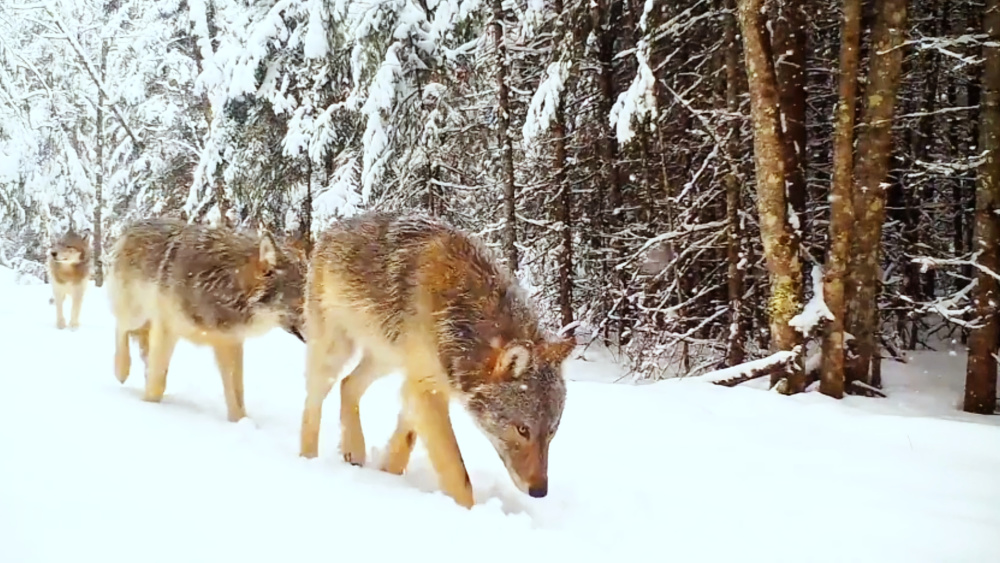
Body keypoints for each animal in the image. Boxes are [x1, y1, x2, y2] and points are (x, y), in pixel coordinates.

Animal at [107, 218, 306, 420]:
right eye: (302, 303)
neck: (224, 284)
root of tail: (136, 224)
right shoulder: (166, 329)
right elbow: (157, 384)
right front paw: (149, 406)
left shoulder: (230, 342)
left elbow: (237, 397)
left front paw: (241, 423)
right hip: (136, 315)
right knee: (121, 328)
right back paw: (121, 370)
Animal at [300, 213, 576, 512]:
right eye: (523, 430)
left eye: (551, 432)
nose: (539, 492)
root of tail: (332, 228)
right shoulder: (427, 389)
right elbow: (456, 470)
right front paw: (469, 512)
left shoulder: (420, 384)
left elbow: (403, 444)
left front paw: (387, 477)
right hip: (335, 352)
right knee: (313, 402)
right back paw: (307, 460)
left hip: (385, 360)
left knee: (348, 383)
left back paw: (354, 450)